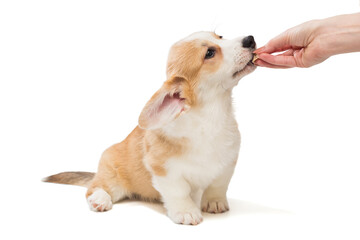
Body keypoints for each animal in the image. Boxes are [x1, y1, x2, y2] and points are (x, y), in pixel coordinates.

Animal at [44, 31, 256, 224]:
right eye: (210, 53)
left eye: (220, 36)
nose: (250, 39)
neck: (210, 115)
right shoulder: (164, 170)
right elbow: (178, 191)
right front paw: (186, 212)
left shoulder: (227, 163)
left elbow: (218, 185)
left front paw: (214, 203)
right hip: (112, 176)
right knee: (95, 187)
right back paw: (99, 200)